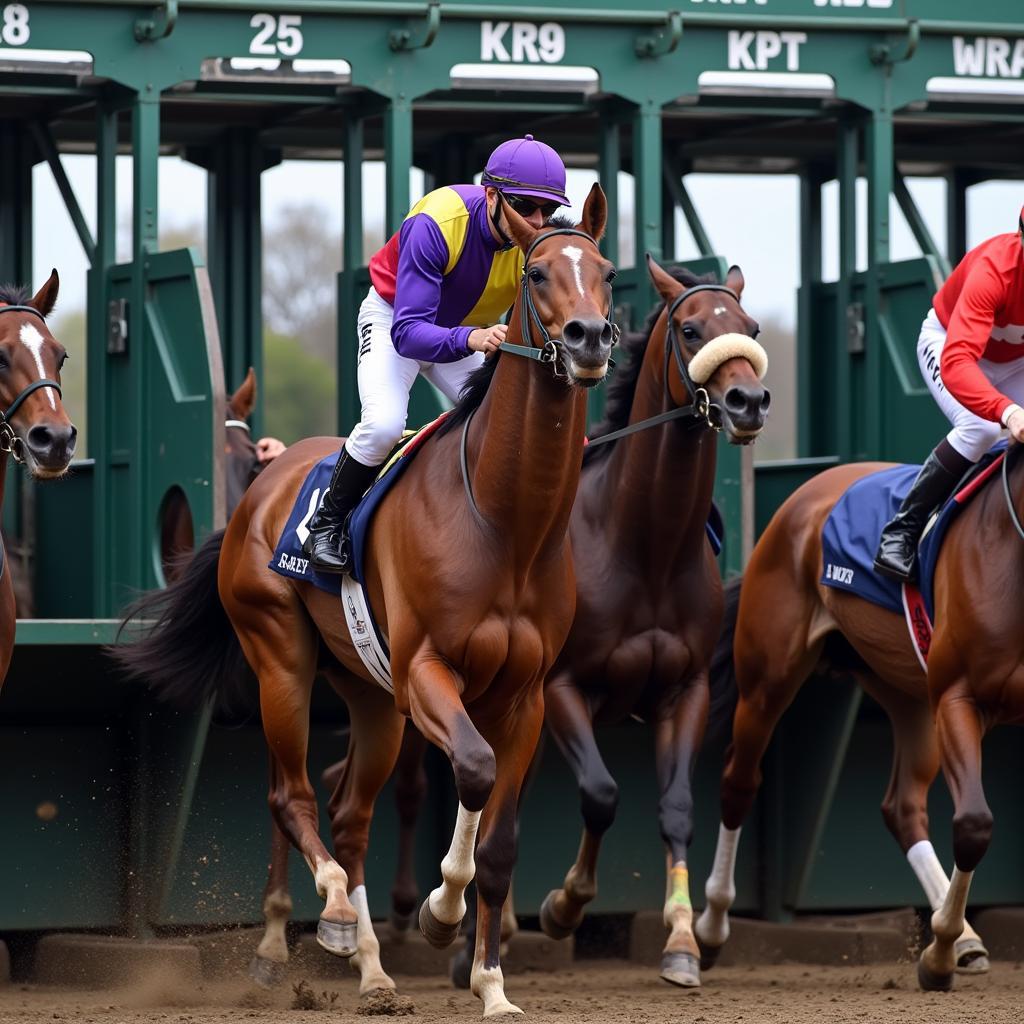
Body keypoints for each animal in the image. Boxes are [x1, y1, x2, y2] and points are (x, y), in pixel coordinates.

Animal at [117, 188, 614, 1019]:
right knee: (291, 797)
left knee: (351, 815)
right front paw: (440, 912)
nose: (589, 338)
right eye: (539, 272)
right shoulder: (426, 672)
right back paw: (336, 916)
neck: (506, 522)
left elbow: (501, 843)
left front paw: (492, 985)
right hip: (282, 662)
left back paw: (374, 969)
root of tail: (263, 483)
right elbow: (472, 769)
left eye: (606, 272)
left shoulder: (525, 697)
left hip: (371, 698)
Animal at [696, 454, 1024, 983]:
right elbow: (974, 823)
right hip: (768, 676)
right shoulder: (958, 696)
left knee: (902, 806)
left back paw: (965, 939)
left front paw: (947, 943)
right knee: (739, 781)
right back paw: (708, 929)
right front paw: (937, 956)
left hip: (908, 693)